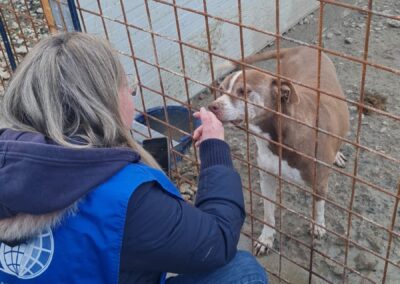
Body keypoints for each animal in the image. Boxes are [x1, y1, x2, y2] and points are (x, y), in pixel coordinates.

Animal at [208, 46, 348, 255]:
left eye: (244, 91)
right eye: (222, 90)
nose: (212, 106)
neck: (277, 140)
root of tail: (302, 47)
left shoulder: (319, 182)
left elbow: (319, 206)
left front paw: (318, 225)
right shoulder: (266, 178)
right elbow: (268, 214)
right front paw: (266, 239)